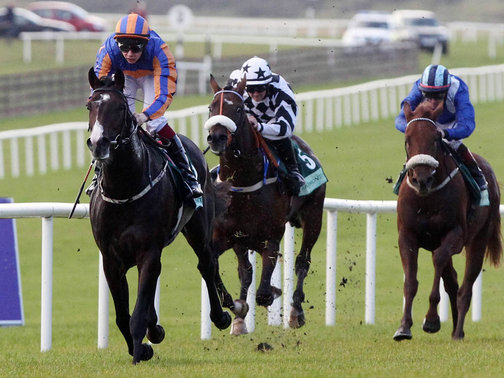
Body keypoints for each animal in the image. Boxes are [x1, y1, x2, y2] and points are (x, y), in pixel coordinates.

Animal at [86, 68, 230, 364]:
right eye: (89, 105)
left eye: (120, 108)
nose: (98, 143)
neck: (124, 190)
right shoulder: (111, 260)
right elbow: (122, 315)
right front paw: (141, 346)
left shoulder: (148, 252)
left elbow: (137, 314)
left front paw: (139, 352)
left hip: (198, 226)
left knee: (207, 263)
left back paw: (220, 315)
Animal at [204, 76, 326, 334]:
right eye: (211, 107)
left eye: (238, 109)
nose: (217, 138)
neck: (244, 183)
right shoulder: (226, 237)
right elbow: (219, 270)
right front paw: (238, 309)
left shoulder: (270, 240)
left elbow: (262, 294)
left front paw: (273, 293)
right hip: (241, 242)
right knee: (245, 272)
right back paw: (241, 320)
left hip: (314, 215)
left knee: (302, 262)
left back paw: (295, 311)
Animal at [396, 99, 502, 342]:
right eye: (407, 139)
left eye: (436, 138)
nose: (422, 179)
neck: (427, 198)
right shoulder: (407, 236)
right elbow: (410, 281)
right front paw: (404, 327)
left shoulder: (456, 235)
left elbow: (438, 260)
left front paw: (432, 320)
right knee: (452, 281)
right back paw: (455, 329)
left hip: (479, 239)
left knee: (465, 287)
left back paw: (458, 331)